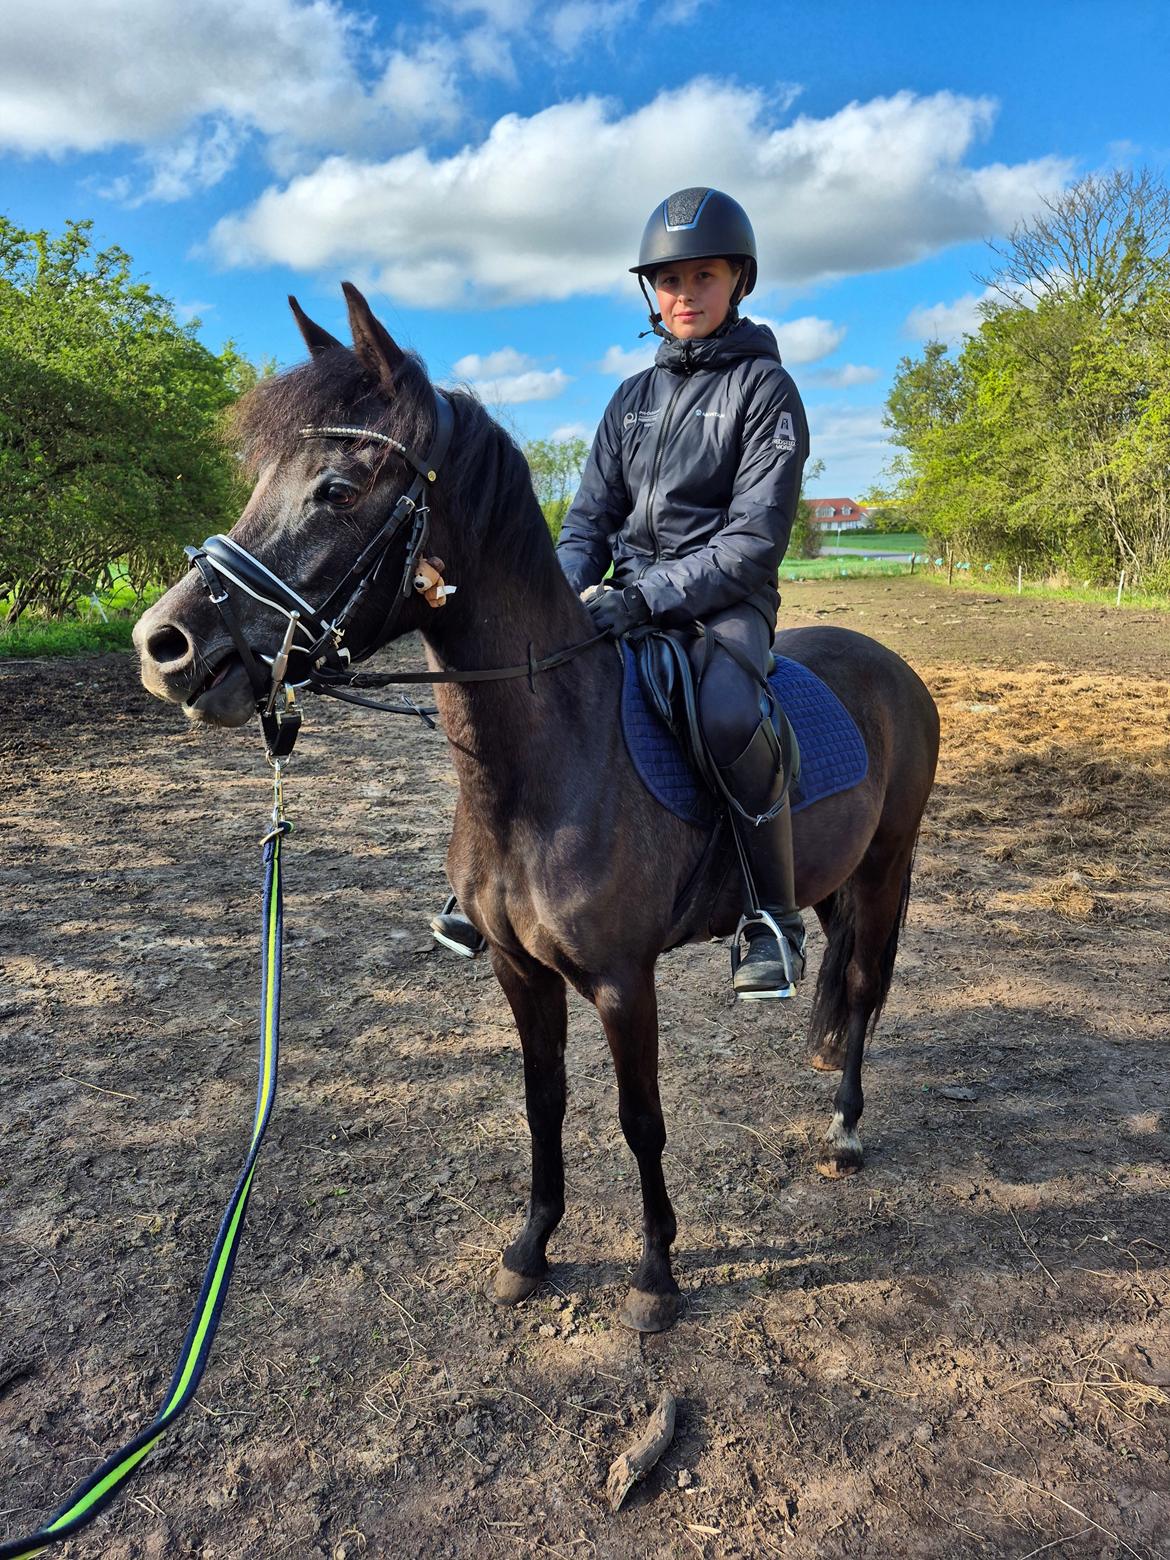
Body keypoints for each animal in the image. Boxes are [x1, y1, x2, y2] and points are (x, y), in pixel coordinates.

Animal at [134, 283, 940, 1334]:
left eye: (337, 491)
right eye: (263, 476)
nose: (165, 646)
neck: (550, 768)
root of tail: (893, 667)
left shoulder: (623, 980)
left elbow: (642, 1120)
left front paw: (655, 1274)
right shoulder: (519, 970)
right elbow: (542, 1101)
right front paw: (532, 1249)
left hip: (888, 868)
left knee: (866, 983)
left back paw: (843, 1129)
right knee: (838, 970)